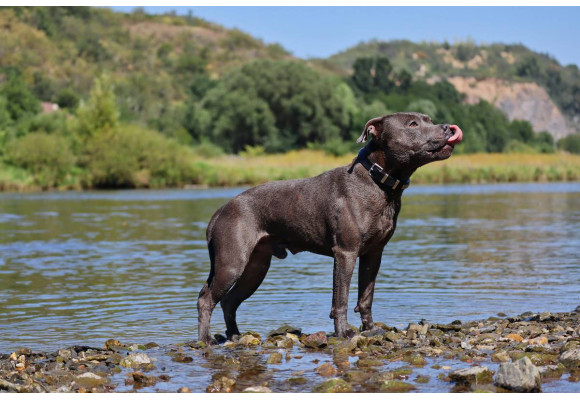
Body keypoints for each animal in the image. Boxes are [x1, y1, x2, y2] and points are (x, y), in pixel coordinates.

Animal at [198, 112, 462, 344]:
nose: (448, 127)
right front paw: (344, 333)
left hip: (256, 267)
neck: (378, 180)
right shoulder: (345, 253)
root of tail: (220, 211)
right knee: (206, 298)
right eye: (413, 124)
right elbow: (341, 298)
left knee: (229, 301)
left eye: (429, 119)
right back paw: (206, 340)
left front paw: (370, 329)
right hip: (232, 263)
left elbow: (366, 296)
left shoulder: (373, 254)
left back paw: (234, 336)